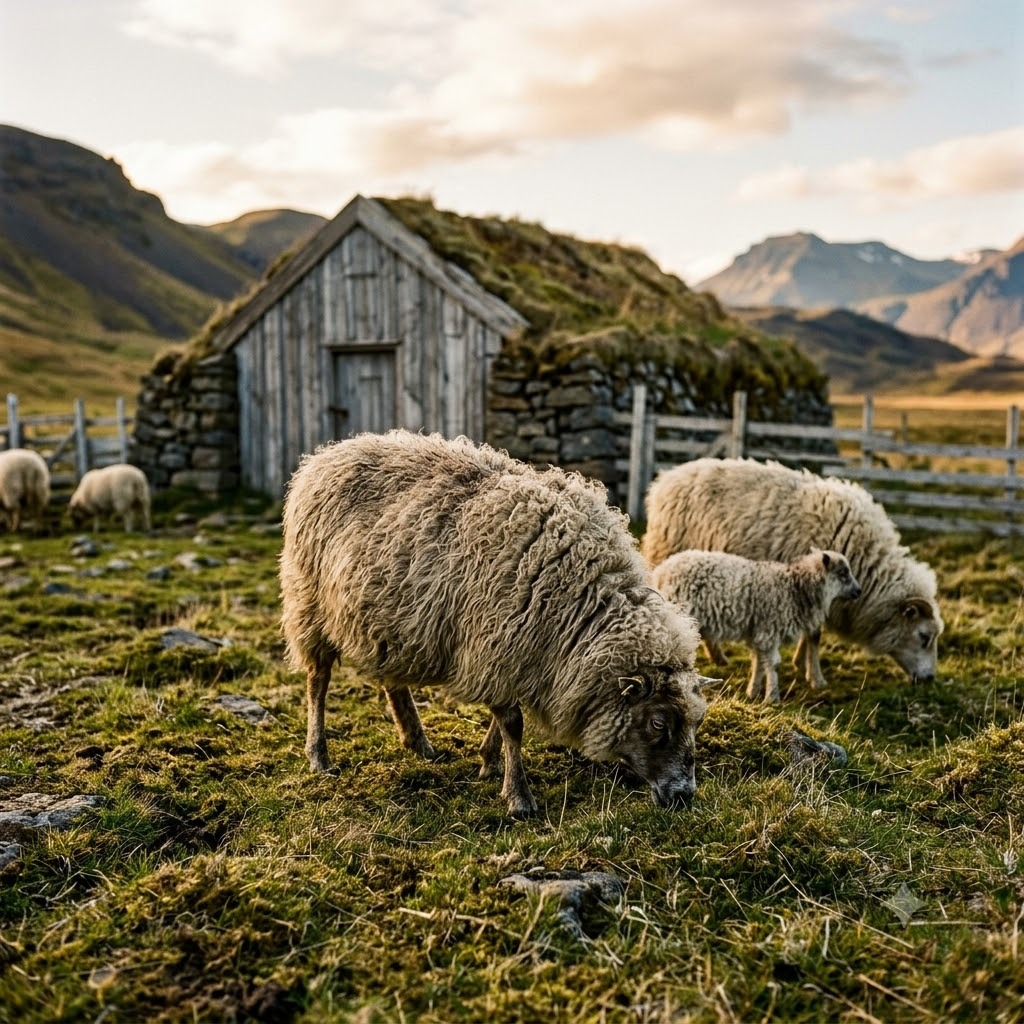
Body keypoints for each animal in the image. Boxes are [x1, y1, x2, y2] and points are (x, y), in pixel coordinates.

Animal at [280, 430, 711, 818]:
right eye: (658, 722)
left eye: (697, 720)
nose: (683, 796)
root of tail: (330, 452)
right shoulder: (497, 643)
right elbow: (512, 723)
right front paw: (518, 796)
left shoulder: (512, 650)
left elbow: (502, 720)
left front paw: (489, 760)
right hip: (309, 605)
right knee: (317, 682)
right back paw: (319, 756)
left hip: (389, 616)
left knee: (392, 678)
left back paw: (417, 741)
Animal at [641, 457, 943, 686]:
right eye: (924, 636)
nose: (930, 679)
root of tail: (667, 478)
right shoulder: (813, 586)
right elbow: (814, 635)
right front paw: (816, 677)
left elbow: (810, 631)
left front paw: (800, 662)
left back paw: (718, 656)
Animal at [651, 549, 862, 703]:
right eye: (843, 573)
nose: (859, 591)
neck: (796, 588)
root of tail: (662, 570)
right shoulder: (769, 630)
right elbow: (772, 664)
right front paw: (772, 697)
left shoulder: (759, 632)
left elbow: (758, 662)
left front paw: (753, 691)